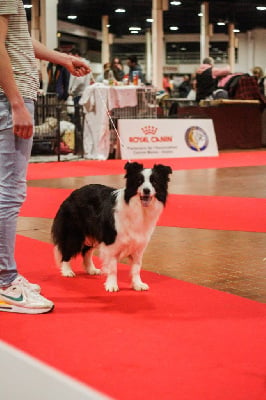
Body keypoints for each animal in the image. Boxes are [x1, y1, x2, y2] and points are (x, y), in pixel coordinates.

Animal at [51, 161, 172, 292]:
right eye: (139, 181)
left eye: (154, 182)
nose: (146, 190)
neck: (138, 209)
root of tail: (73, 193)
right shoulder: (111, 243)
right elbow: (113, 267)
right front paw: (112, 285)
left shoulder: (138, 245)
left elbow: (136, 267)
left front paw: (137, 284)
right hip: (74, 233)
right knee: (67, 250)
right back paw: (67, 271)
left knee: (86, 252)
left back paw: (91, 269)